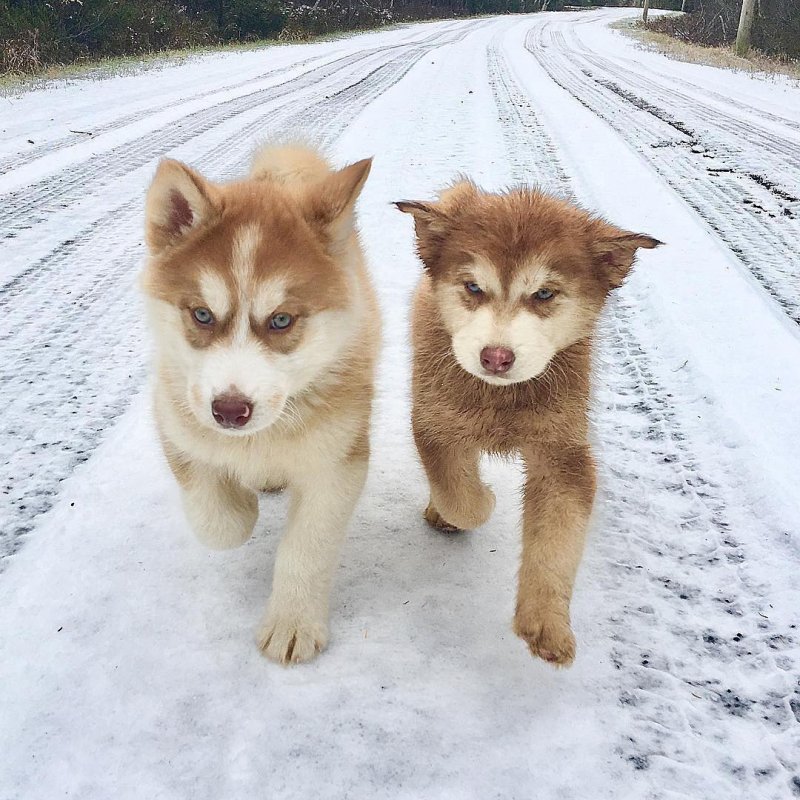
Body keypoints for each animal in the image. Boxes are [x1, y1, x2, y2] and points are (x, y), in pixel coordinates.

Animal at [142, 142, 380, 664]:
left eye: (281, 320)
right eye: (202, 314)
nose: (230, 412)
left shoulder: (337, 462)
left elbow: (306, 550)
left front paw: (292, 624)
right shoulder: (176, 424)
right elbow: (219, 521)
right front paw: (242, 503)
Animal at [396, 184, 660, 664]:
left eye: (544, 295)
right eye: (473, 287)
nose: (496, 357)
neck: (502, 400)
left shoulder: (563, 451)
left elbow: (558, 538)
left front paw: (546, 622)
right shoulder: (434, 423)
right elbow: (459, 495)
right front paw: (479, 501)